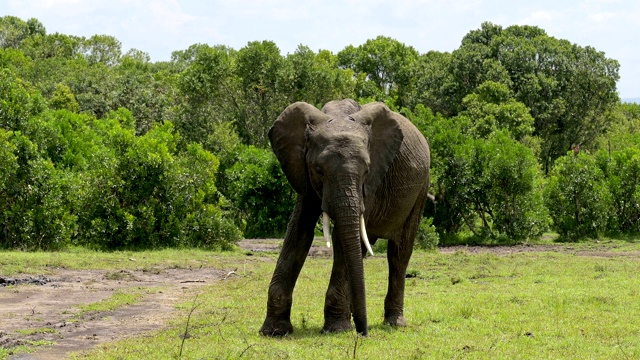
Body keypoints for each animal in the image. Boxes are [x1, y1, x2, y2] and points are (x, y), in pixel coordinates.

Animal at [258, 99, 430, 338]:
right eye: (319, 170)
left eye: (367, 170)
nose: (363, 333)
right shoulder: (303, 173)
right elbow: (298, 232)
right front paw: (274, 331)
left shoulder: (372, 183)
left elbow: (342, 239)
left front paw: (337, 329)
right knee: (363, 250)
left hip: (421, 189)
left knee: (399, 253)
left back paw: (393, 323)